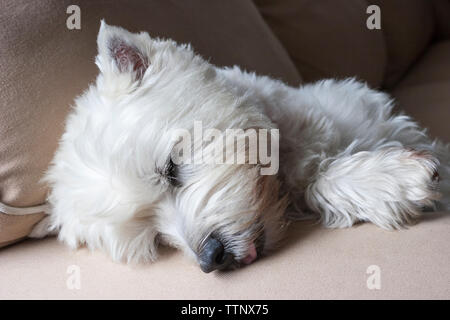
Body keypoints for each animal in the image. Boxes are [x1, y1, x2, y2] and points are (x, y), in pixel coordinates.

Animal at [29, 21, 448, 272]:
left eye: (171, 169)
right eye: (156, 238)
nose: (212, 258)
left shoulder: (362, 113)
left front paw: (399, 177)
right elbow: (317, 181)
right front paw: (397, 182)